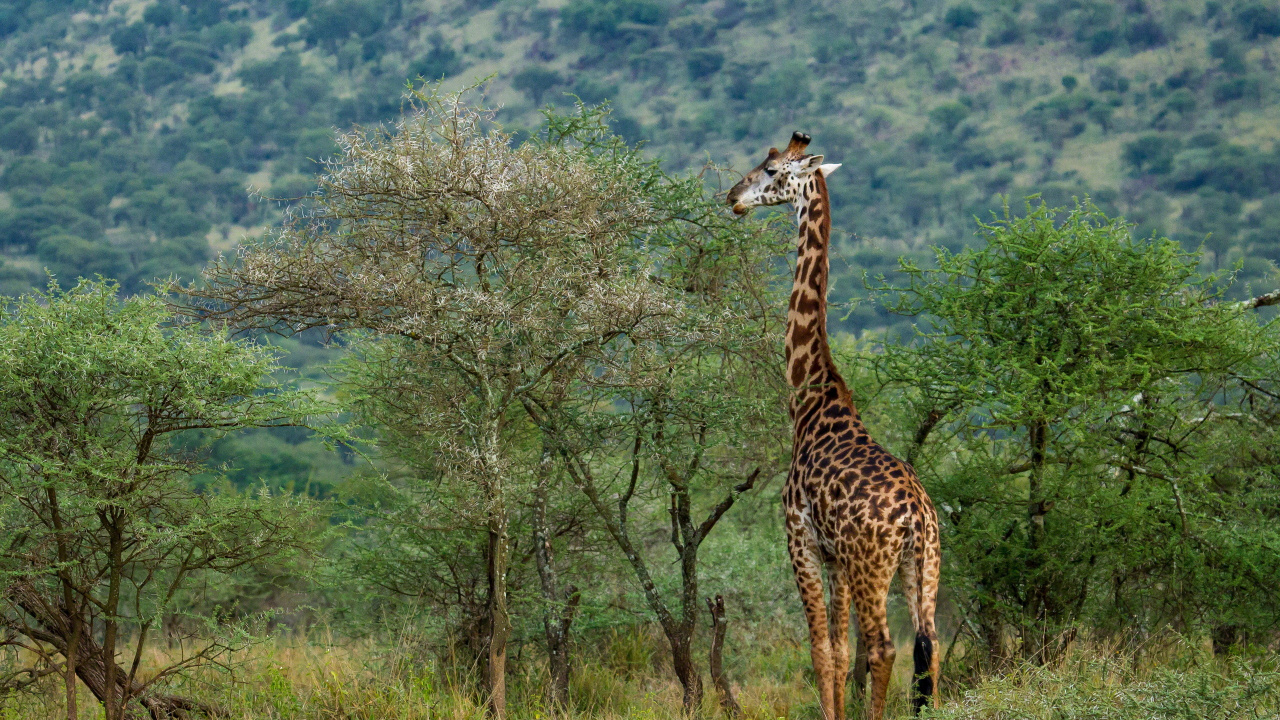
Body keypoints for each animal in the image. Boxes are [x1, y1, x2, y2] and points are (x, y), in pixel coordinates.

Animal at [727, 133, 941, 720]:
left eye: (771, 169)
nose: (732, 197)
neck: (810, 399)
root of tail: (918, 517)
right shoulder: (835, 559)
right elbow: (842, 653)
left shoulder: (798, 539)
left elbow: (823, 650)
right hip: (924, 568)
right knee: (930, 646)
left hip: (874, 566)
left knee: (885, 647)